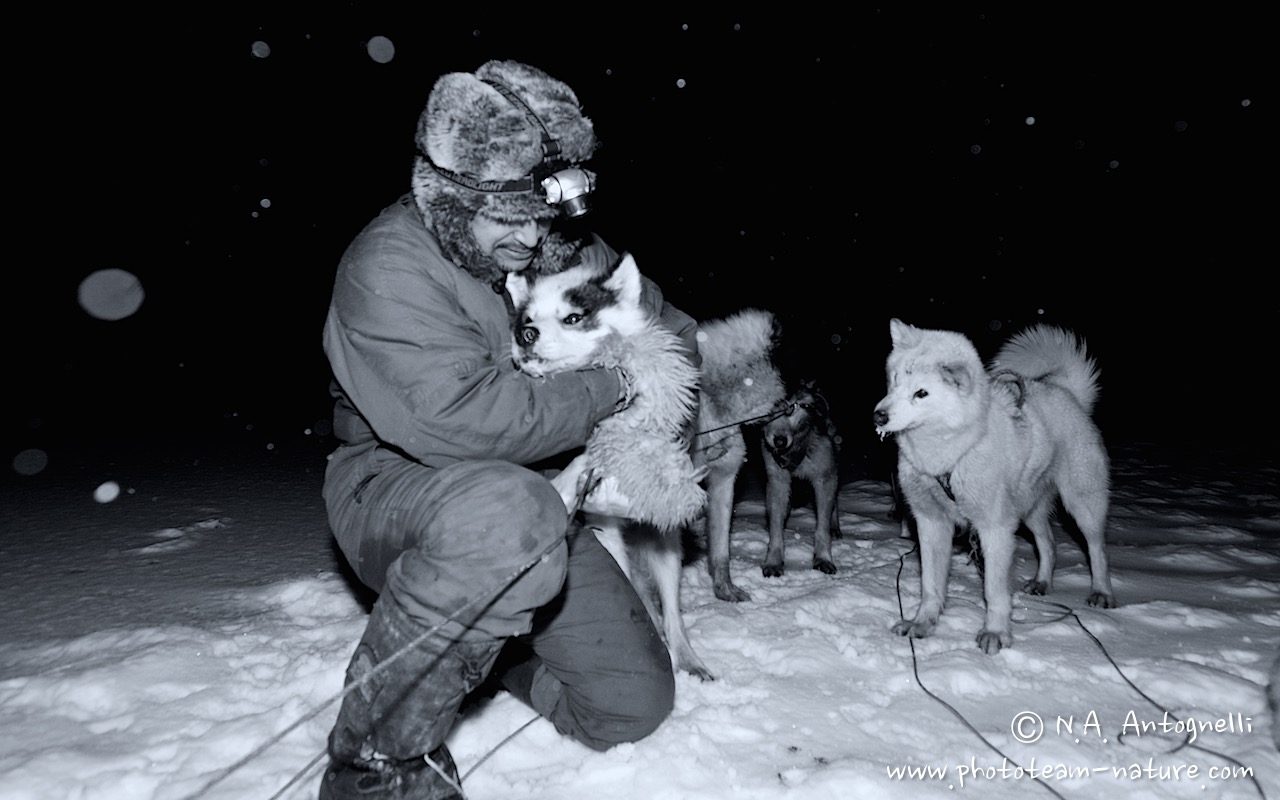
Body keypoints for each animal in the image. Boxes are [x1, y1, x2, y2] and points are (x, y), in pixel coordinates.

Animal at [757, 378, 839, 573]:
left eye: (791, 410)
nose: (779, 441)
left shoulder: (825, 479)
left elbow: (822, 526)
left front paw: (823, 558)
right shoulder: (777, 481)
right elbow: (776, 525)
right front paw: (773, 561)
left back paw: (835, 526)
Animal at [875, 314, 1116, 652]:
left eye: (921, 393)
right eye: (894, 381)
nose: (878, 416)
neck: (951, 455)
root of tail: (1066, 391)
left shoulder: (995, 528)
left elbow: (994, 590)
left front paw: (995, 634)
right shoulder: (931, 523)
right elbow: (931, 585)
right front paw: (922, 624)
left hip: (1082, 504)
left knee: (1097, 550)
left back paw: (1102, 593)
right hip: (1029, 510)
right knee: (1049, 543)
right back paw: (1042, 582)